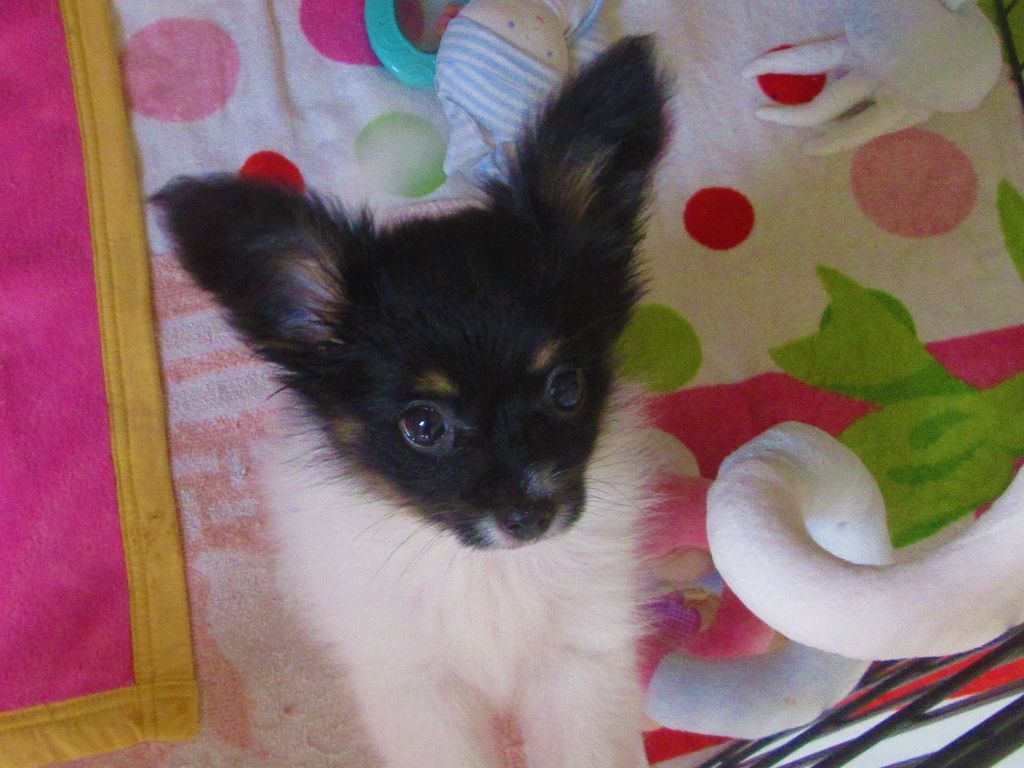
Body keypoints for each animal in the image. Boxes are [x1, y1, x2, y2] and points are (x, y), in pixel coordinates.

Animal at [155, 35, 669, 768]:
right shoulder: (416, 686)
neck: (485, 571)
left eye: (566, 388)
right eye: (423, 425)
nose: (531, 515)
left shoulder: (580, 660)